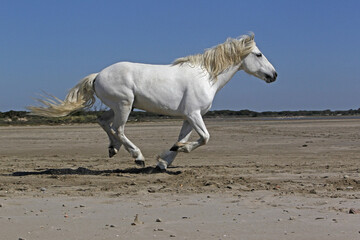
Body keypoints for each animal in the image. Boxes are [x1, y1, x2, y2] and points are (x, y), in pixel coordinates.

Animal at [28, 33, 278, 171]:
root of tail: (98, 75)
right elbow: (205, 138)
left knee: (103, 121)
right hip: (124, 105)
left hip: (118, 106)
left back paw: (114, 149)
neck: (206, 76)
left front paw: (165, 160)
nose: (274, 75)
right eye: (258, 54)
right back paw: (137, 157)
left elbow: (181, 139)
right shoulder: (195, 114)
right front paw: (171, 154)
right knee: (119, 129)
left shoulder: (189, 117)